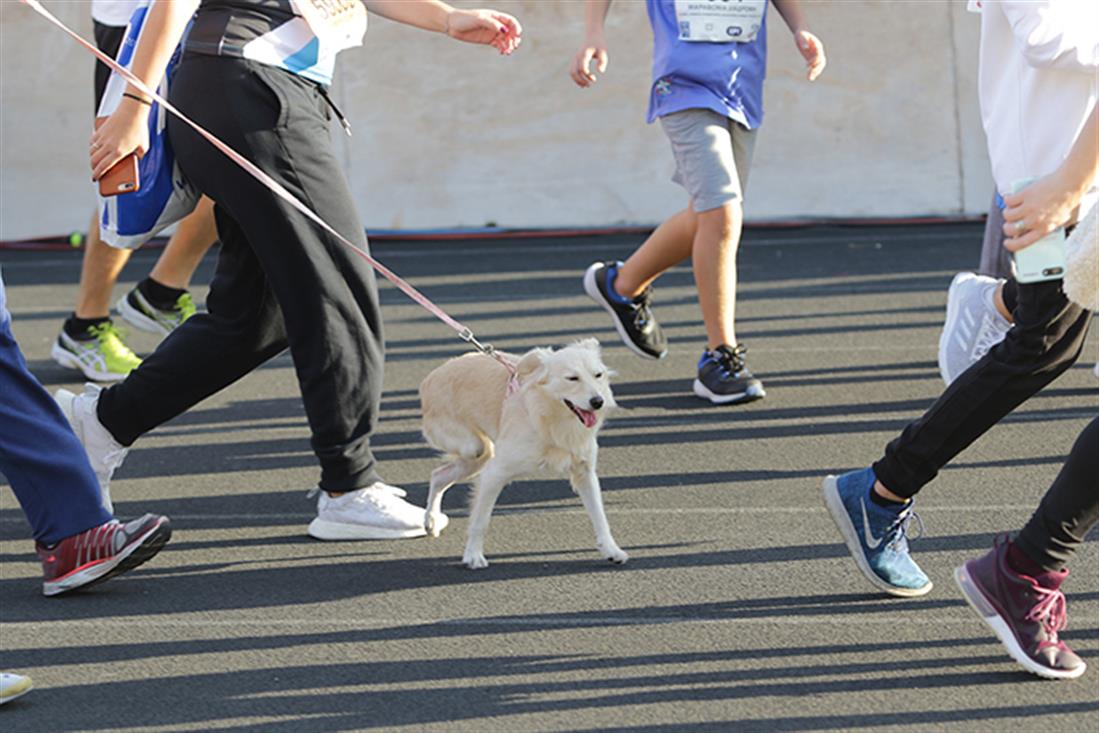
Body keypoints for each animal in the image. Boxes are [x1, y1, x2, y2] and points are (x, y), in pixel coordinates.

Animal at [417, 340, 628, 571]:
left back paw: (431, 521)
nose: (598, 401)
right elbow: (480, 521)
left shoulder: (585, 474)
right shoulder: (494, 473)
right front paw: (473, 555)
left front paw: (611, 550)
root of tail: (432, 376)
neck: (550, 417)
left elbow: (600, 517)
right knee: (451, 467)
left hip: (476, 458)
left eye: (598, 375)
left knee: (438, 476)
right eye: (572, 378)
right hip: (474, 448)